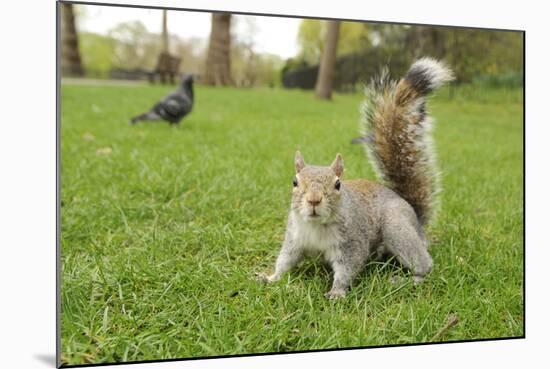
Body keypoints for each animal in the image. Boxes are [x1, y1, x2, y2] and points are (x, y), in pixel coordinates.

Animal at [256, 58, 454, 300]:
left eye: (338, 184)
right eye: (294, 182)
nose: (313, 200)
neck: (317, 226)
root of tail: (415, 216)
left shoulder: (352, 243)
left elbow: (347, 268)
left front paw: (337, 292)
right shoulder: (294, 239)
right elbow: (285, 261)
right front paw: (270, 278)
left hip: (397, 227)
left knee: (424, 263)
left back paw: (409, 279)